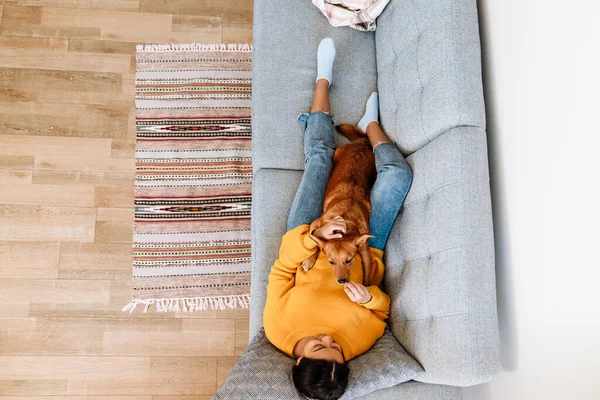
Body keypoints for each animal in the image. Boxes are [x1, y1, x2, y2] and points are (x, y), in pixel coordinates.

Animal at [304, 125, 376, 284]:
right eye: (331, 262)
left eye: (349, 260)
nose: (342, 281)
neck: (346, 224)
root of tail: (362, 145)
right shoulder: (315, 224)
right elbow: (315, 241)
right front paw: (309, 260)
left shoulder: (365, 253)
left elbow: (368, 277)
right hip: (336, 154)